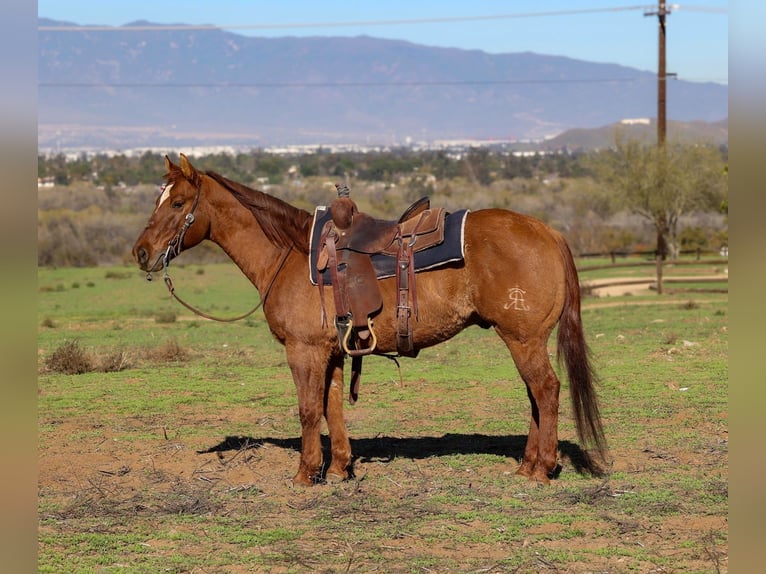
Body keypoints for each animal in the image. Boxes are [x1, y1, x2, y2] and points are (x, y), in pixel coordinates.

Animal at [132, 153, 607, 485]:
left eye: (178, 202)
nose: (141, 252)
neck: (290, 254)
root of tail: (548, 231)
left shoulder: (303, 351)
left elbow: (308, 409)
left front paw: (305, 474)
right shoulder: (333, 351)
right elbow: (333, 406)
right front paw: (339, 468)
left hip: (523, 339)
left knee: (546, 391)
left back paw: (542, 469)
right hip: (522, 340)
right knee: (535, 396)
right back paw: (527, 465)